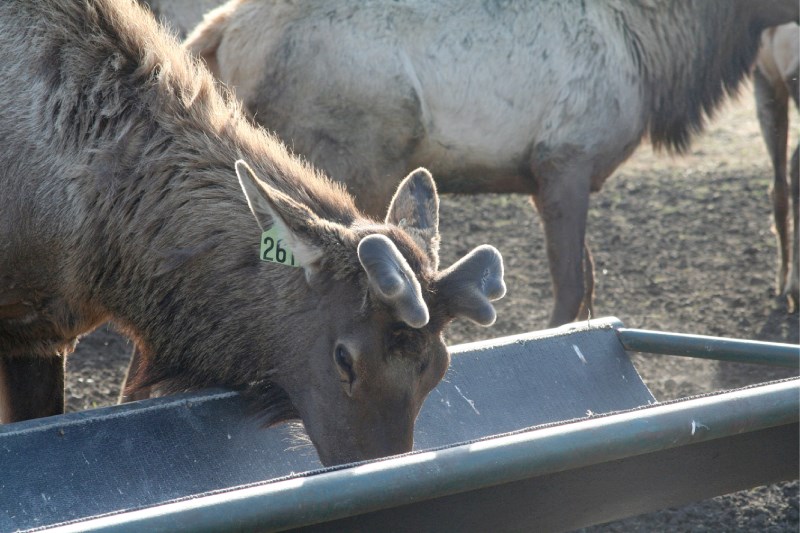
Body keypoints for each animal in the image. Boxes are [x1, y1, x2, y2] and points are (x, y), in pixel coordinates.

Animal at [189, 0, 800, 326]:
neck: (657, 48)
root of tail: (219, 30)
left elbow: (588, 283)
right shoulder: (563, 160)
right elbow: (570, 288)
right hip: (348, 158)